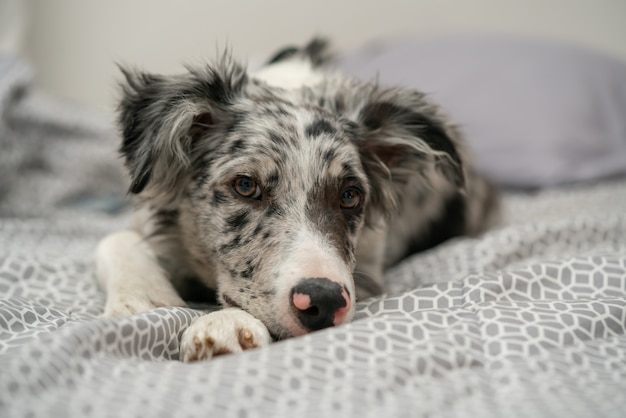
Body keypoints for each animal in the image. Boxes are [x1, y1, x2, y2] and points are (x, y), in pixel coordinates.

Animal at [96, 39, 498, 362]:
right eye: (245, 186)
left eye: (350, 196)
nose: (325, 302)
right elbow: (114, 240)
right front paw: (143, 300)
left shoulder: (368, 273)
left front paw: (224, 323)